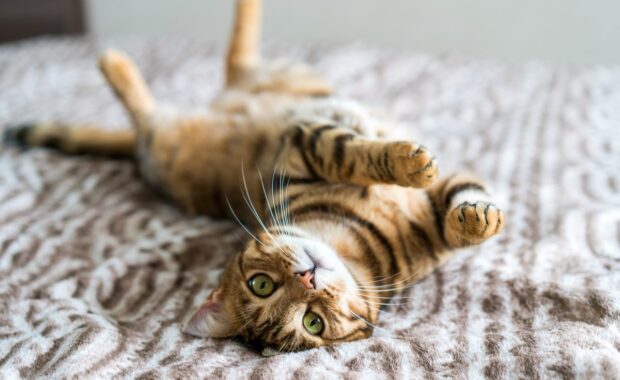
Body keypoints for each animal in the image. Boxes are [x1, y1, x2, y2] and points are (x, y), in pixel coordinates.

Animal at [3, 0, 504, 356]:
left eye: (313, 319)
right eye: (264, 288)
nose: (308, 279)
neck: (350, 245)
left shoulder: (428, 200)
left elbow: (458, 204)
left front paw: (477, 216)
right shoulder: (301, 147)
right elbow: (347, 151)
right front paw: (408, 162)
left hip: (280, 79)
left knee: (236, 60)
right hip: (168, 146)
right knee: (153, 111)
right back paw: (113, 63)